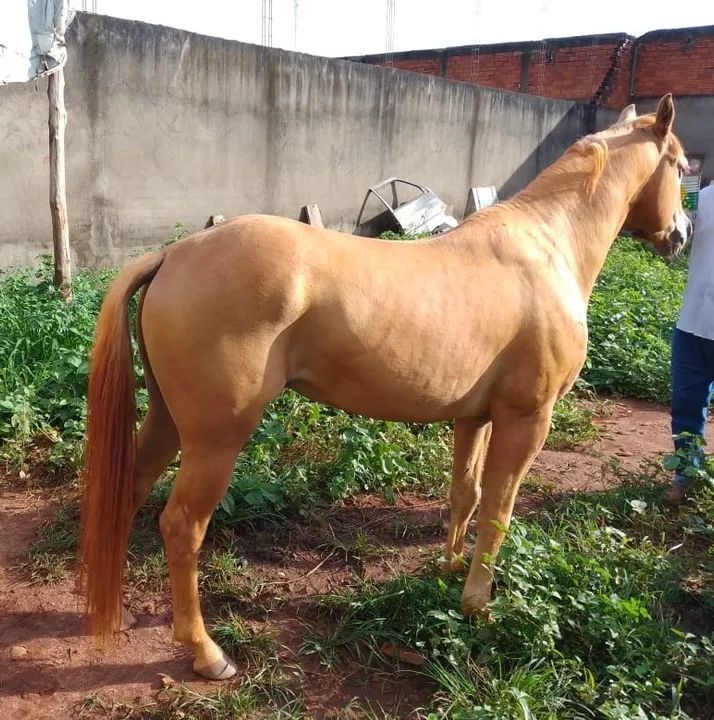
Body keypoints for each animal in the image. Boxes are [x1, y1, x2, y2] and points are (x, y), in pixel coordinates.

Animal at [80, 94, 691, 680]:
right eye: (682, 167)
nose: (681, 235)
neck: (547, 245)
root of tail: (173, 255)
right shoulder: (527, 418)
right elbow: (499, 508)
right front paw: (477, 605)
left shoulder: (475, 417)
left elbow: (466, 494)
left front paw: (449, 569)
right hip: (215, 441)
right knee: (182, 526)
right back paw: (206, 653)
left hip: (166, 420)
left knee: (127, 494)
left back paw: (118, 612)